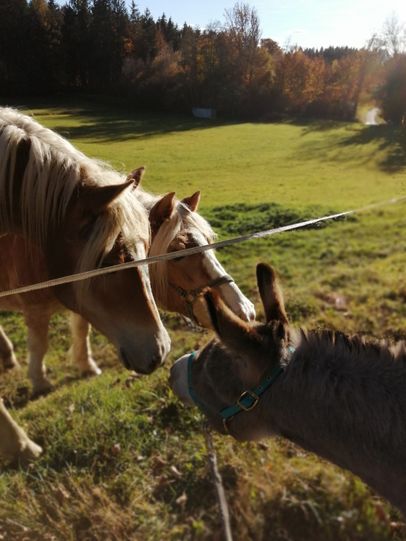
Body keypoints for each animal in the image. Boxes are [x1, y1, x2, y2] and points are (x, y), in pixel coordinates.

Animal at [0, 166, 255, 392]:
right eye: (178, 254)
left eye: (210, 241)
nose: (244, 310)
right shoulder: (36, 307)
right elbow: (40, 344)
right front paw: (40, 381)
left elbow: (82, 330)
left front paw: (86, 365)